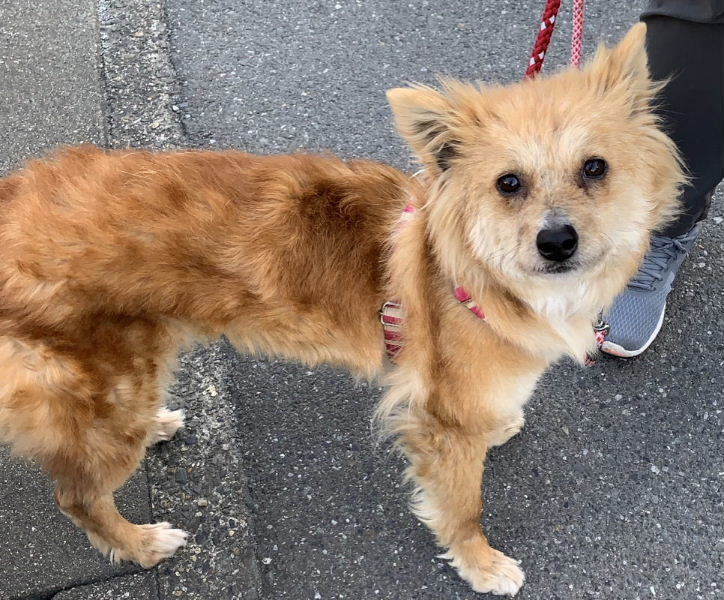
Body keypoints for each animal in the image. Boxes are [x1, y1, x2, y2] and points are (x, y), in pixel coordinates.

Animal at [0, 23, 682, 596]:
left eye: (595, 168)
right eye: (508, 184)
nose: (557, 241)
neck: (485, 274)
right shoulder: (443, 423)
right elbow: (463, 508)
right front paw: (480, 564)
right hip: (112, 391)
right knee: (79, 497)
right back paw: (140, 543)